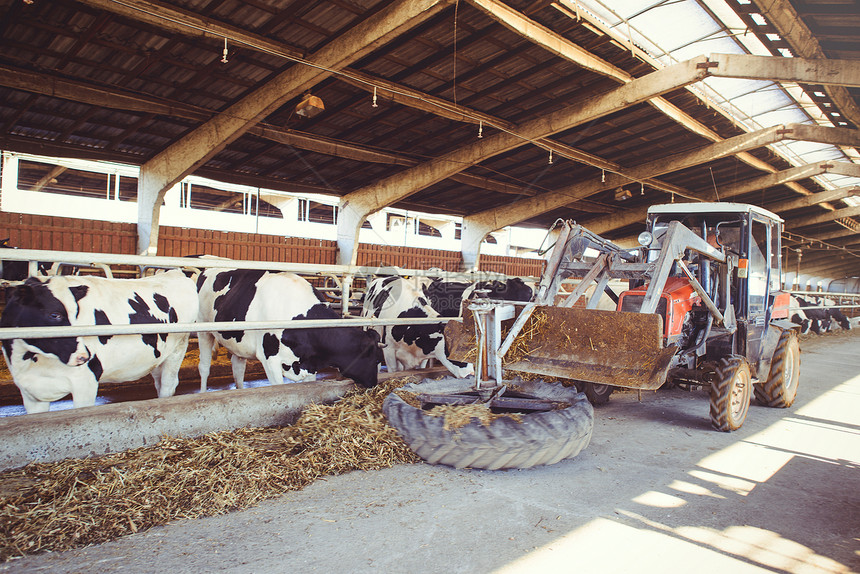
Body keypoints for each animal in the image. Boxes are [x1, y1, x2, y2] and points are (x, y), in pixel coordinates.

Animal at [0, 272, 198, 416]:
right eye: (54, 314)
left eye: (77, 313)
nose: (85, 356)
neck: (29, 360)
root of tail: (173, 273)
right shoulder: (29, 391)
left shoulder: (86, 381)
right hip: (158, 358)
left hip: (176, 351)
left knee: (168, 385)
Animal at [197, 270, 384, 392]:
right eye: (375, 359)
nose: (374, 383)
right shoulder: (270, 360)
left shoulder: (309, 365)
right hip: (203, 329)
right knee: (204, 367)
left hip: (239, 342)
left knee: (238, 367)